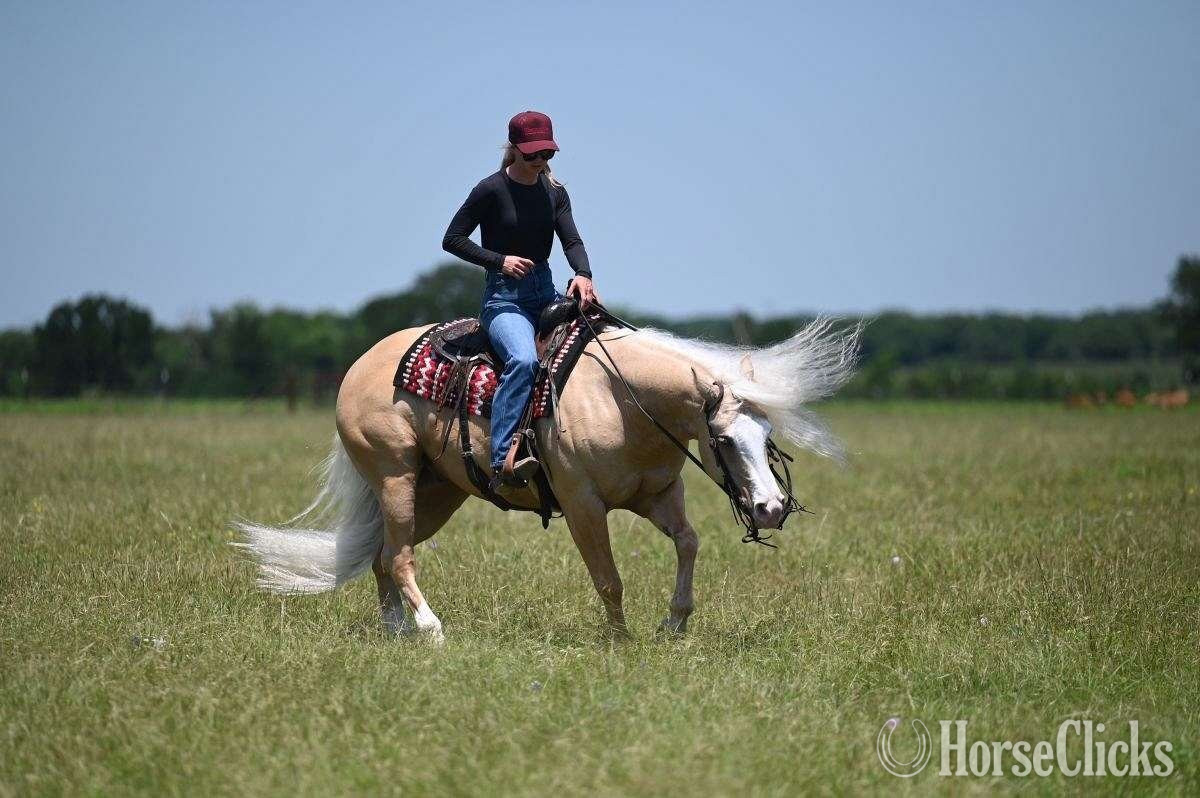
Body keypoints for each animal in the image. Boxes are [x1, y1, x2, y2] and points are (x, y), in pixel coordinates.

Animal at [234, 316, 860, 640]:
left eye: (768, 434)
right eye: (726, 441)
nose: (771, 509)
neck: (621, 399)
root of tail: (359, 366)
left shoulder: (658, 494)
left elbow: (688, 542)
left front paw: (674, 624)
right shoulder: (583, 505)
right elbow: (608, 578)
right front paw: (621, 642)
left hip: (436, 492)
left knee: (384, 557)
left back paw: (396, 632)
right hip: (395, 479)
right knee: (401, 557)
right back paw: (432, 631)